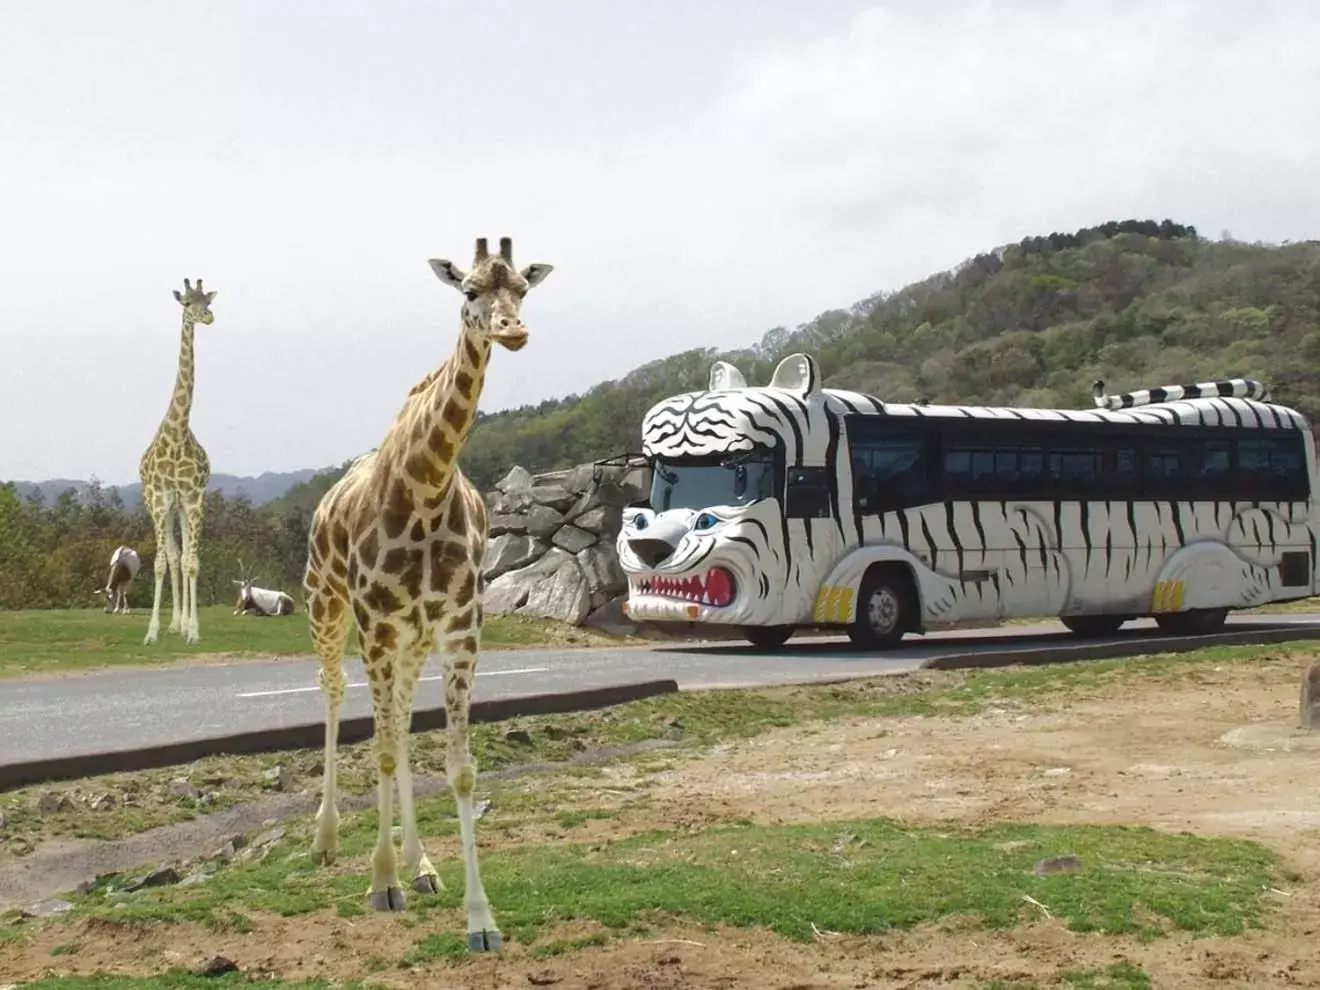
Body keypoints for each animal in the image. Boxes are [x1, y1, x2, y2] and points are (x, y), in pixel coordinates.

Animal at [302, 234, 551, 955]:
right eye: (468, 290)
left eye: (522, 288)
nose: (512, 330)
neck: (428, 483)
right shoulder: (376, 624)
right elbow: (381, 749)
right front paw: (381, 882)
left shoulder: (459, 627)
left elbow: (457, 765)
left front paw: (479, 919)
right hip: (327, 608)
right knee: (335, 697)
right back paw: (328, 840)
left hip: (411, 642)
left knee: (404, 723)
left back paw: (422, 865)